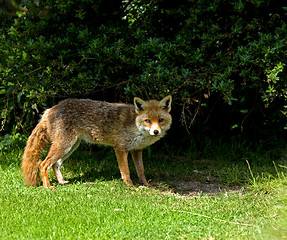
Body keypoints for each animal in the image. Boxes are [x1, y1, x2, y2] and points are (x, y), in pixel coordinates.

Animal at [22, 94, 173, 188]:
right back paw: (48, 187)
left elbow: (141, 170)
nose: (156, 132)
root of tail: (51, 109)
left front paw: (146, 184)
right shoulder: (120, 147)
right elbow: (126, 171)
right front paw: (130, 185)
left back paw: (62, 182)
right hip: (63, 145)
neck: (135, 126)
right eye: (147, 121)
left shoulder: (136, 150)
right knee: (44, 164)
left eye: (160, 120)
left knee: (56, 164)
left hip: (71, 146)